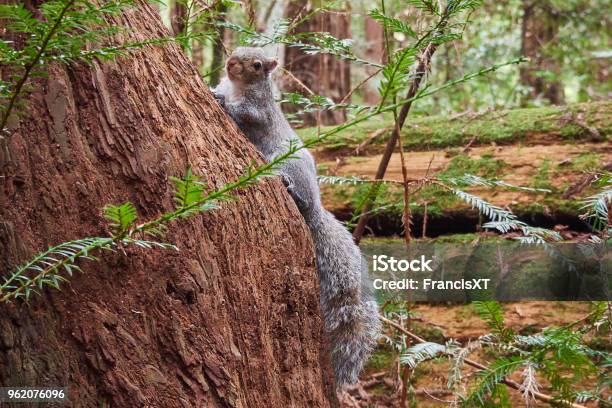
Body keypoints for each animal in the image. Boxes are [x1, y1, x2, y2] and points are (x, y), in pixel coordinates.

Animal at [213, 46, 380, 388]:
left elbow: (244, 115)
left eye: (257, 65)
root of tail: (317, 208)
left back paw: (291, 189)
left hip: (288, 162)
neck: (237, 86)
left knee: (301, 198)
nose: (231, 63)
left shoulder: (259, 112)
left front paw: (221, 101)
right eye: (238, 49)